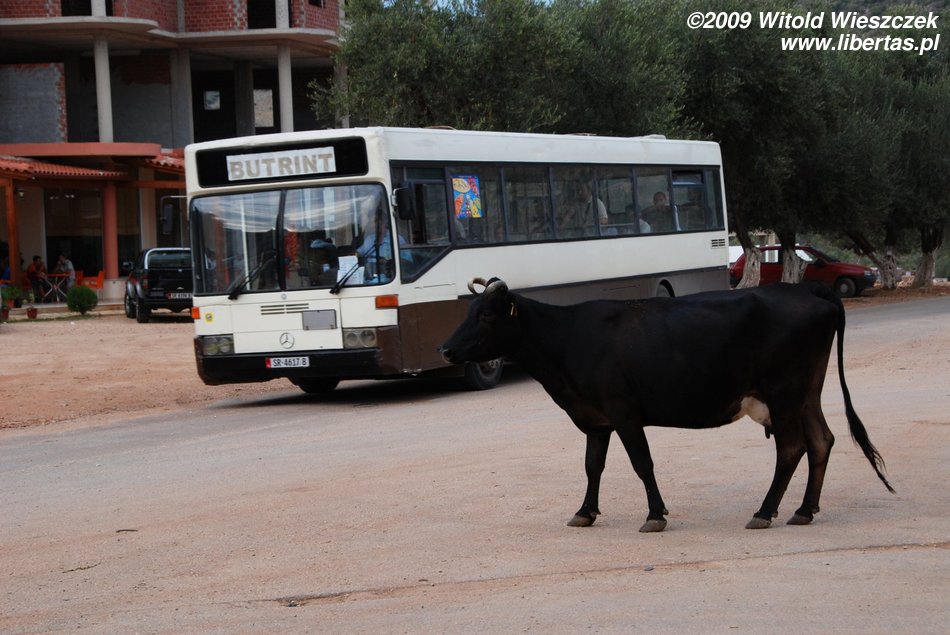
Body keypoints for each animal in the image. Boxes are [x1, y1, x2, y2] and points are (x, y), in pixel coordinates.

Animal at [439, 277, 894, 532]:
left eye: (486, 315)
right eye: (468, 311)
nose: (444, 349)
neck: (568, 339)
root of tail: (805, 289)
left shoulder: (624, 412)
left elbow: (642, 464)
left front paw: (655, 514)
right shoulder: (596, 419)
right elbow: (592, 466)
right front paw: (585, 512)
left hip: (784, 393)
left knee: (792, 449)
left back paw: (765, 512)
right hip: (806, 393)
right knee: (821, 441)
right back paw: (804, 509)